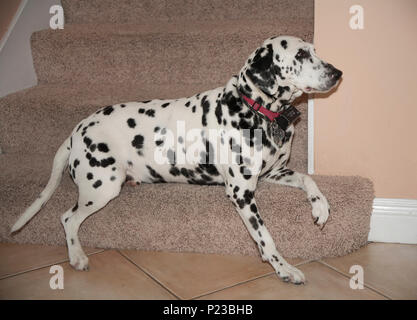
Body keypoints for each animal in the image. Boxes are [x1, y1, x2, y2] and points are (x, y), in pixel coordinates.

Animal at [12, 36, 342, 284]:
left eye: (315, 50)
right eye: (300, 54)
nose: (337, 72)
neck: (257, 111)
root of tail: (77, 130)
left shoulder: (275, 172)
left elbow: (308, 179)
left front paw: (321, 208)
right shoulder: (241, 193)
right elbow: (265, 237)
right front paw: (284, 268)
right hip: (102, 187)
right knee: (68, 218)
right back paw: (77, 256)